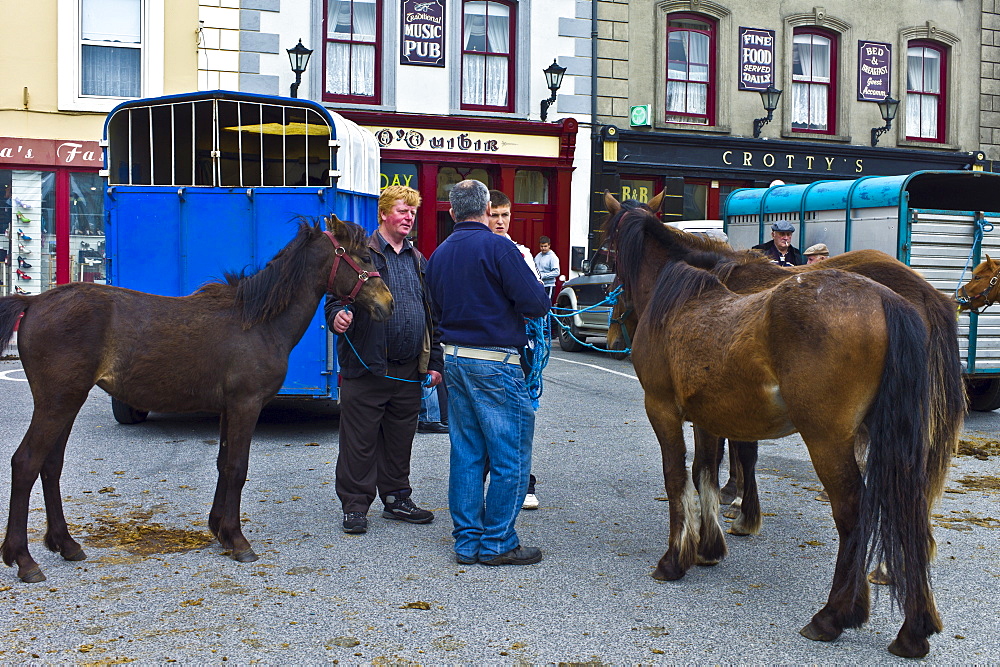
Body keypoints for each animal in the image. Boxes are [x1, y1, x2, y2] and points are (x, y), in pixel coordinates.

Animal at [0, 217, 394, 580]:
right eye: (363, 257)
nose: (388, 304)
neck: (259, 322)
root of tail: (34, 302)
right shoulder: (245, 405)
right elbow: (237, 468)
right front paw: (238, 540)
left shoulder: (228, 409)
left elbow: (223, 464)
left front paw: (220, 530)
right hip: (57, 403)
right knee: (26, 463)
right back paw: (23, 559)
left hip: (67, 403)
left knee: (51, 466)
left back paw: (66, 544)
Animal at [604, 201, 956, 660]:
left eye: (606, 250)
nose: (613, 333)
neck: (679, 302)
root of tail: (887, 299)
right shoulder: (708, 416)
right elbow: (704, 472)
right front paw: (709, 547)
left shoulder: (662, 409)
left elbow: (678, 477)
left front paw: (675, 559)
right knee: (908, 507)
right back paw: (914, 628)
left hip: (828, 440)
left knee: (854, 512)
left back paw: (833, 615)